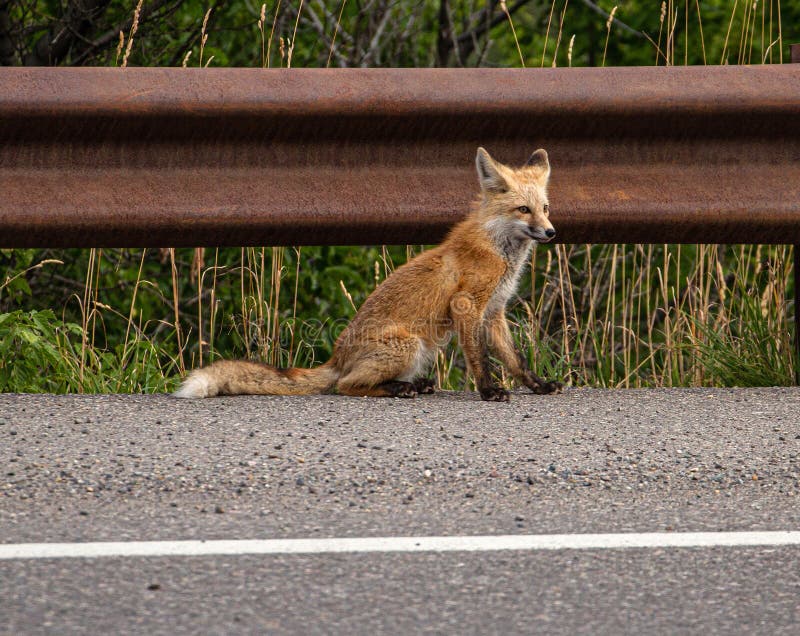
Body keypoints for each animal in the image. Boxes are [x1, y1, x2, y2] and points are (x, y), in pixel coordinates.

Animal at [174, 147, 562, 402]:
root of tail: (337, 358)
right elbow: (480, 359)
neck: (498, 248)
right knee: (345, 386)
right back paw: (399, 389)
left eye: (545, 208)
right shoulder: (467, 306)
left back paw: (415, 385)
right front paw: (489, 390)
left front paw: (539, 385)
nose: (551, 232)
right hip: (409, 344)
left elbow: (515, 359)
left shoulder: (493, 312)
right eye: (523, 209)